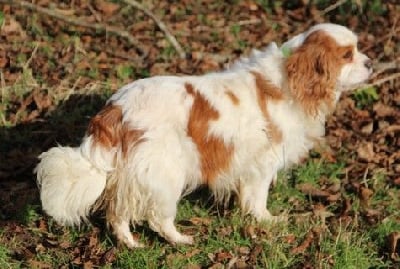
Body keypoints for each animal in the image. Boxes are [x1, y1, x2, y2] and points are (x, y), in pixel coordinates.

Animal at [36, 23, 374, 247]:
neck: (289, 80)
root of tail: (115, 109)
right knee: (157, 216)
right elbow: (258, 198)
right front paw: (267, 220)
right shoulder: (260, 163)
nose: (371, 62)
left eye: (358, 50)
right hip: (166, 170)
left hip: (132, 173)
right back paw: (181, 240)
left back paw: (131, 245)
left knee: (119, 213)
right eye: (347, 55)